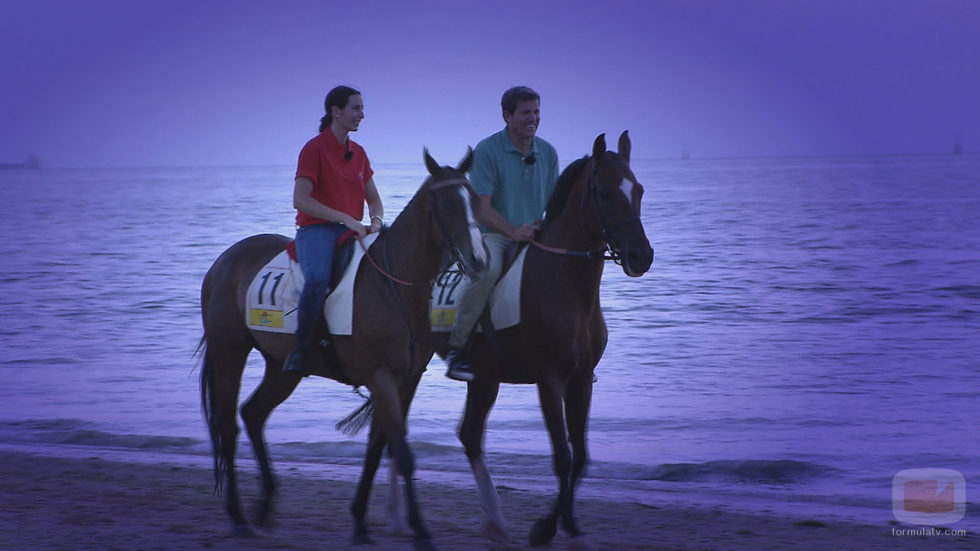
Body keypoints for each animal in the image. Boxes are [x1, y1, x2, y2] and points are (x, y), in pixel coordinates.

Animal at [200, 149, 490, 548]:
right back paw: (239, 516)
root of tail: (222, 263)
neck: (392, 286)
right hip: (228, 352)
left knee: (253, 414)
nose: (479, 258)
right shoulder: (380, 377)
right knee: (228, 426)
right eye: (445, 203)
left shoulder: (406, 380)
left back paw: (265, 503)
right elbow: (402, 453)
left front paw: (360, 521)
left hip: (281, 367)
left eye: (474, 200)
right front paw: (419, 530)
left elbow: (379, 446)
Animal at [434, 133, 652, 548]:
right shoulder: (550, 380)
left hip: (485, 378)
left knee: (470, 435)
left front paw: (568, 523)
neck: (564, 282)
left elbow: (580, 455)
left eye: (639, 190)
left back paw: (494, 520)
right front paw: (546, 527)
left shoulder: (581, 380)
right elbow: (563, 456)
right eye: (603, 192)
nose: (641, 255)